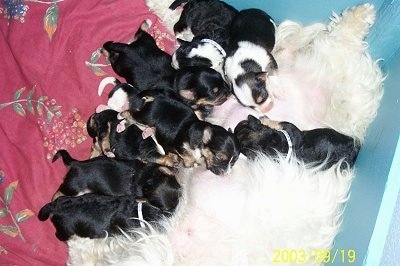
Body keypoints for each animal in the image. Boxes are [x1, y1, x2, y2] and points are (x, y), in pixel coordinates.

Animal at [50, 149, 180, 211]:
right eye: (164, 209)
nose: (176, 208)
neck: (147, 177)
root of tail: (76, 164)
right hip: (74, 189)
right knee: (58, 192)